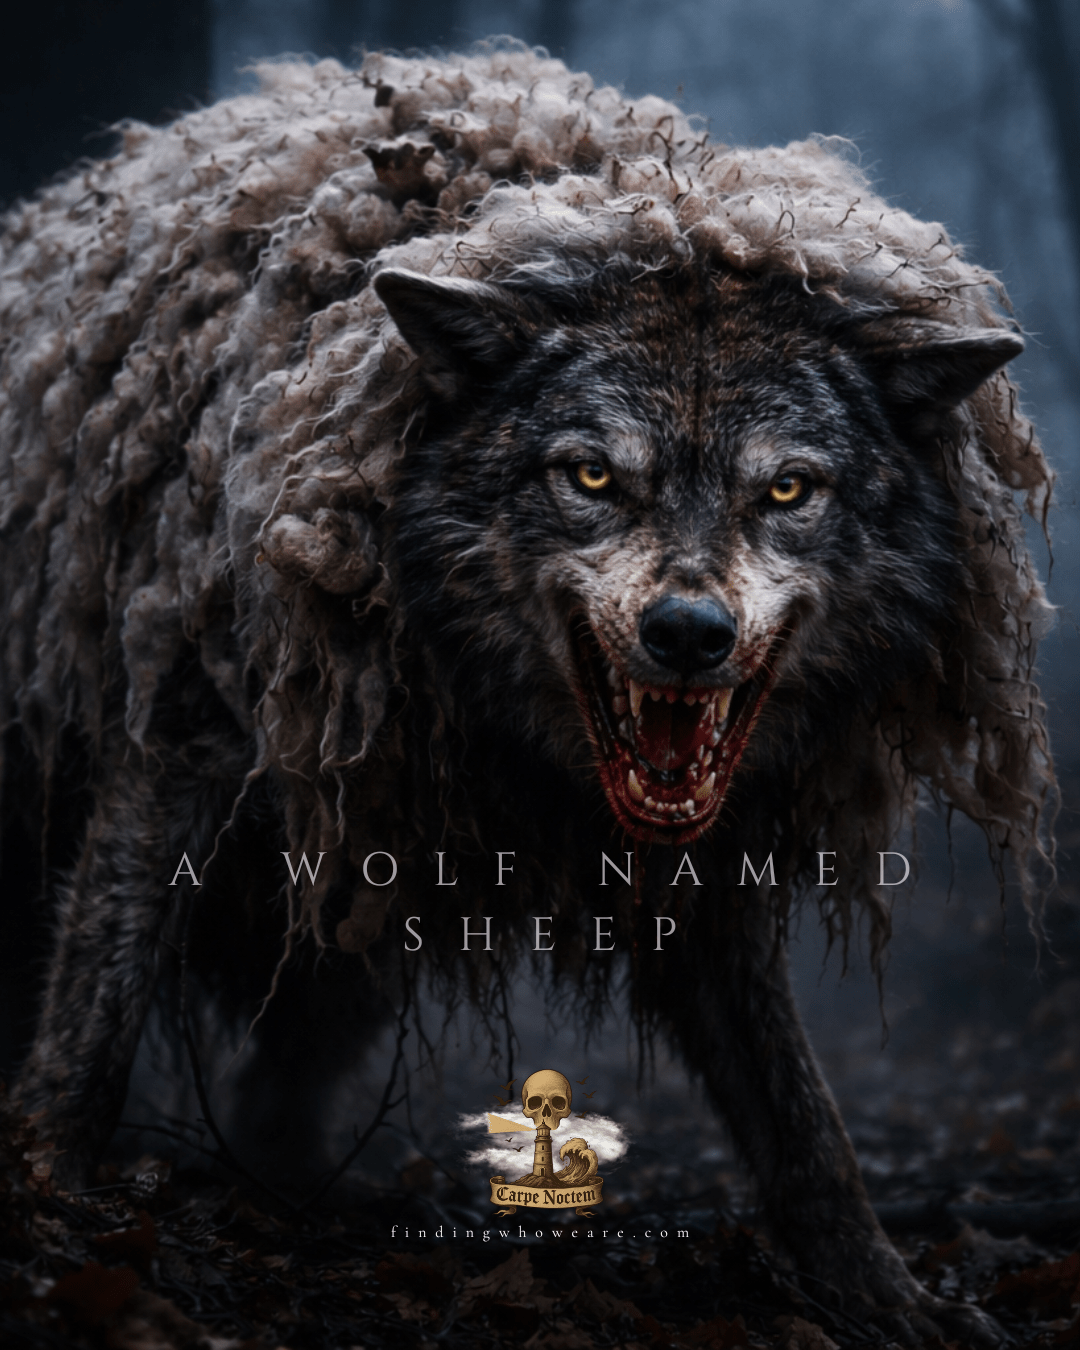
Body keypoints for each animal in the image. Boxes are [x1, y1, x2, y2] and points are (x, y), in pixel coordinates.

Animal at [1, 46, 1053, 1344]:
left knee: (283, 1081)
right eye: (592, 476)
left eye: (788, 491)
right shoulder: (179, 747)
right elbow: (91, 1023)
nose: (689, 636)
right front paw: (51, 1195)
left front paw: (883, 1296)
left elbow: (803, 1119)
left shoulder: (711, 873)